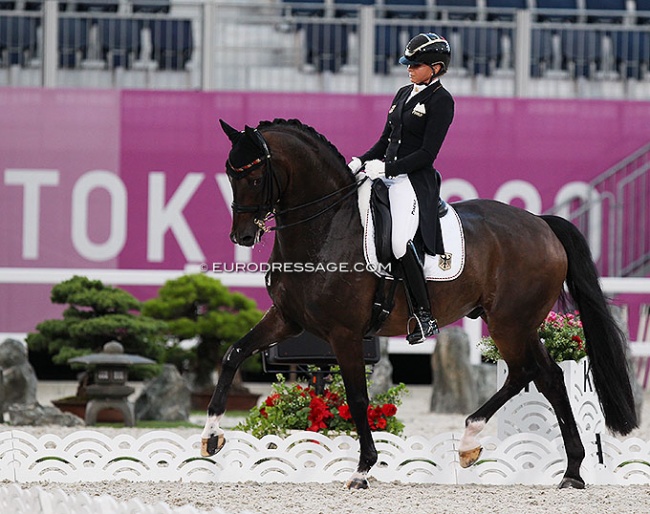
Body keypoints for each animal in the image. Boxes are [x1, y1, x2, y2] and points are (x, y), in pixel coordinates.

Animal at [200, 117, 636, 488]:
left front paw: (362, 469)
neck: (326, 226)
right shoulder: (288, 318)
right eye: (229, 173)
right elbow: (234, 353)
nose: (241, 236)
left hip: (510, 323)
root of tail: (543, 224)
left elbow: (357, 398)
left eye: (255, 176)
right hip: (519, 324)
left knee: (527, 372)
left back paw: (475, 441)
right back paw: (569, 470)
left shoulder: (345, 333)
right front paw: (211, 437)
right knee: (547, 376)